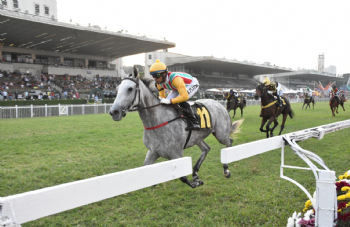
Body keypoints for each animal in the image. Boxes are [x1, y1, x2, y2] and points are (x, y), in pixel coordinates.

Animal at [109, 66, 243, 189]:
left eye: (130, 89)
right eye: (117, 88)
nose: (113, 112)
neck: (157, 122)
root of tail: (220, 105)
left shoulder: (176, 154)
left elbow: (183, 178)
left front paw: (196, 183)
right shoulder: (153, 151)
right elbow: (145, 168)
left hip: (221, 134)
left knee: (229, 142)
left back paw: (226, 170)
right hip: (197, 138)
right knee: (206, 148)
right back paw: (195, 173)